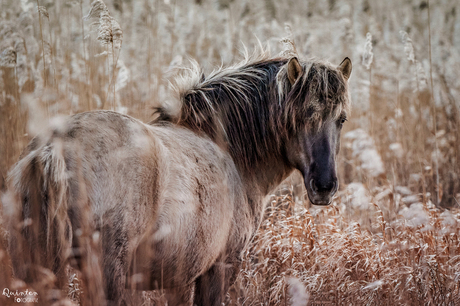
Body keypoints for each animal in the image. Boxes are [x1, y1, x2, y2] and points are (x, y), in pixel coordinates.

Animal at [3, 51, 352, 304]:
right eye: (301, 116)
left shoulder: (177, 279)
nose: (324, 186)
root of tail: (54, 148)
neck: (227, 149)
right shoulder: (219, 269)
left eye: (341, 119)